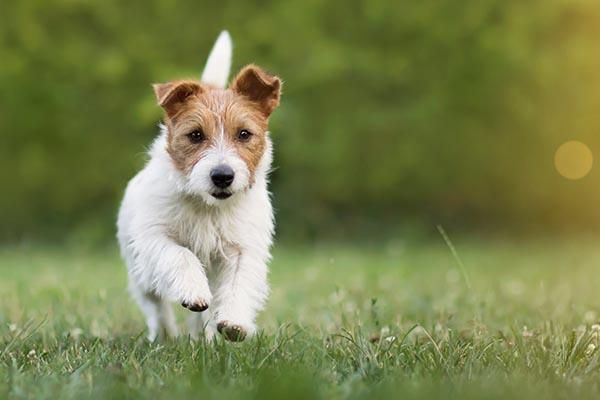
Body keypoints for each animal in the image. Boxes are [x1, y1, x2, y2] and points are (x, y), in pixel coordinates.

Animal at [118, 31, 282, 342]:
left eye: (244, 134)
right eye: (195, 135)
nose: (222, 176)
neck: (208, 205)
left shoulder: (242, 247)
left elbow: (238, 282)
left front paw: (234, 322)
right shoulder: (155, 236)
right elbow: (181, 255)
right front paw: (193, 291)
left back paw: (204, 339)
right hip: (139, 272)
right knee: (155, 304)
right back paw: (165, 336)